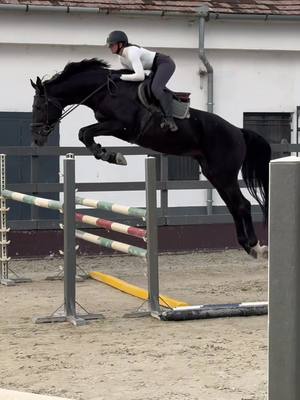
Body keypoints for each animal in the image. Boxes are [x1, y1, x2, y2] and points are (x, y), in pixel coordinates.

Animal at [31, 59, 272, 260]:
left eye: (40, 106)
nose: (36, 138)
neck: (106, 91)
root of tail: (238, 131)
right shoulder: (110, 125)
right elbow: (84, 133)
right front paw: (107, 154)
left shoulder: (122, 126)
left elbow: (85, 132)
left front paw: (112, 155)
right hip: (215, 173)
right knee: (234, 206)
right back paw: (248, 245)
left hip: (223, 172)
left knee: (241, 204)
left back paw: (254, 245)